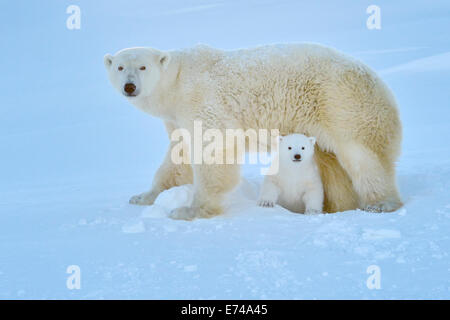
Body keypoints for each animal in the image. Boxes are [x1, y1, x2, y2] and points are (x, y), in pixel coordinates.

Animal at [105, 43, 404, 220]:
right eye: (120, 67)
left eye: (142, 67)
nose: (130, 86)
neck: (178, 84)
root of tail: (380, 83)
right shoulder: (176, 118)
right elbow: (178, 157)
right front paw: (143, 197)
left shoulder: (201, 103)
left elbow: (212, 150)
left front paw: (189, 209)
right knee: (332, 165)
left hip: (342, 104)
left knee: (363, 157)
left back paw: (380, 203)